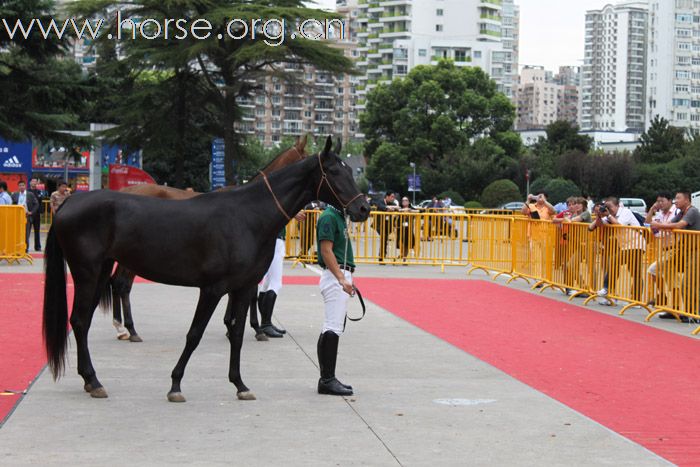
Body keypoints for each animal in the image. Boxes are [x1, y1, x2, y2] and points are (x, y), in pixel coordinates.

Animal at [110, 137, 308, 342]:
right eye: (307, 157)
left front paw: (230, 324)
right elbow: (250, 293)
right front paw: (255, 328)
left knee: (115, 283)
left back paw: (121, 328)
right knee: (123, 285)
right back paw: (130, 329)